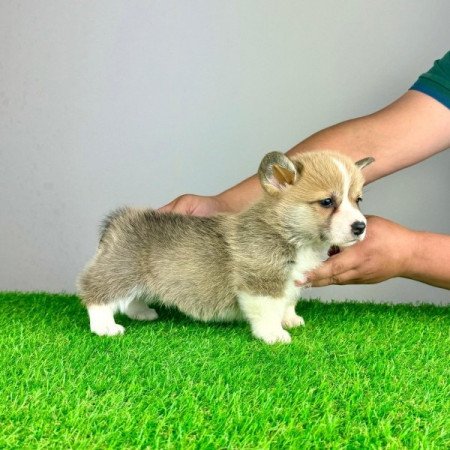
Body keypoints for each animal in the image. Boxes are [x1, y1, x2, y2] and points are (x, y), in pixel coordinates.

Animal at [76, 151, 372, 344]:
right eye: (327, 202)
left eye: (357, 199)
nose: (360, 227)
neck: (288, 232)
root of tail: (118, 219)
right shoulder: (261, 282)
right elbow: (268, 311)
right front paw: (274, 334)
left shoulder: (293, 280)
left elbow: (288, 302)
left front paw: (290, 319)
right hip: (120, 270)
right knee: (97, 293)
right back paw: (105, 326)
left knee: (131, 298)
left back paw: (141, 312)